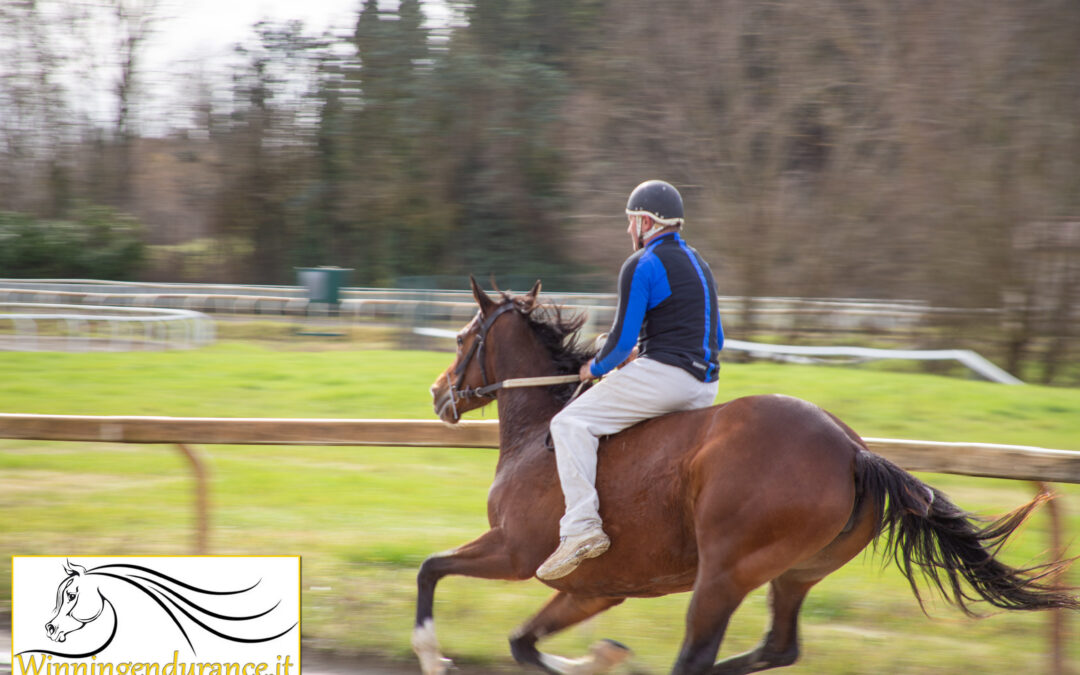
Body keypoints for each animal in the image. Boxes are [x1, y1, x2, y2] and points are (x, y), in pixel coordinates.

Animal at [414, 278, 1080, 673]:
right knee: (777, 647)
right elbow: (523, 644)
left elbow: (430, 568)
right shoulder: (596, 587)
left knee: (698, 657)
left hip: (724, 571)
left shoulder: (516, 551)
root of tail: (852, 450)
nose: (437, 392)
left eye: (461, 336)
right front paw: (603, 654)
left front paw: (432, 654)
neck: (541, 428)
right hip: (793, 573)